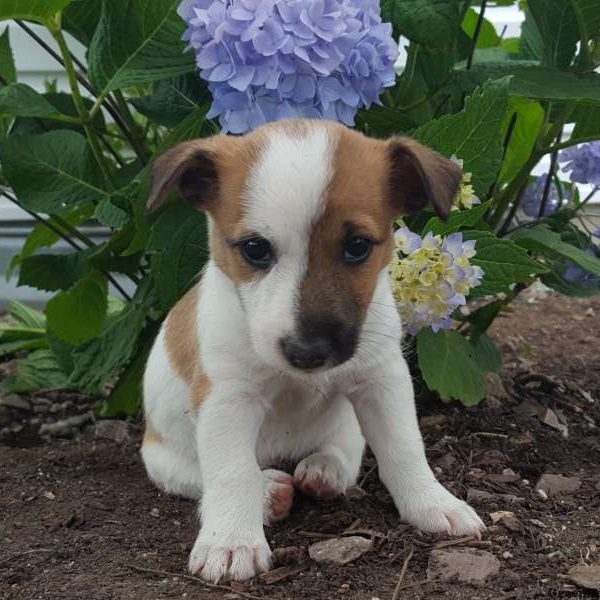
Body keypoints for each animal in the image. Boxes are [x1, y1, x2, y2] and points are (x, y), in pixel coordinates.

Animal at [143, 117, 486, 580]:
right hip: (162, 457)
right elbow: (231, 472)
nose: (308, 352)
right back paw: (268, 490)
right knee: (204, 476)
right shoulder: (227, 399)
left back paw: (324, 469)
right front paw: (231, 541)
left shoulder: (382, 381)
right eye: (255, 248)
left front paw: (432, 503)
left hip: (348, 425)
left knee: (344, 451)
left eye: (358, 246)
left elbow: (405, 448)